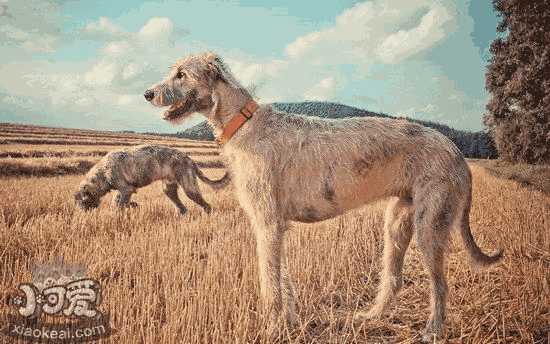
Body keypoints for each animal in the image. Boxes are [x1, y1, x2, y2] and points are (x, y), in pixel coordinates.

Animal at [74, 144, 230, 215]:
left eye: (82, 201)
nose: (81, 214)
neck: (103, 172)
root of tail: (190, 159)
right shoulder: (123, 190)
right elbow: (117, 201)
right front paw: (132, 206)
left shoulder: (126, 189)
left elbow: (119, 204)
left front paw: (118, 215)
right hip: (169, 189)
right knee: (182, 207)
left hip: (189, 188)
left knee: (206, 205)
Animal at [143, 52, 504, 340]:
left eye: (181, 74)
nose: (147, 93)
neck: (244, 124)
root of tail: (456, 152)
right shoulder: (275, 226)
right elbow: (282, 282)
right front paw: (288, 324)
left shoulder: (267, 223)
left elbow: (269, 285)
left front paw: (271, 330)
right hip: (398, 219)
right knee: (394, 277)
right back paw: (371, 316)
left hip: (430, 224)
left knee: (440, 284)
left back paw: (432, 330)